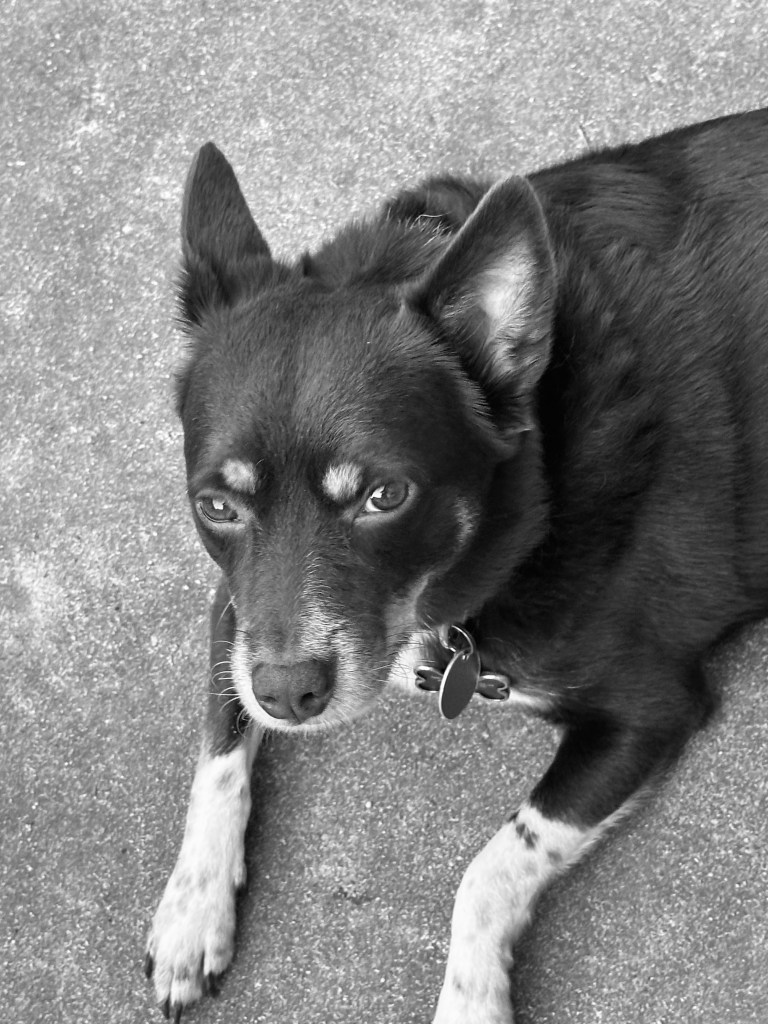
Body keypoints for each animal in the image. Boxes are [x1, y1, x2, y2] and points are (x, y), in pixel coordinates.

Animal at [145, 108, 768, 1022]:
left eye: (385, 495)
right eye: (216, 505)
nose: (290, 696)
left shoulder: (647, 707)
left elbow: (492, 865)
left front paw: (471, 1000)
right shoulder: (240, 611)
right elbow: (219, 746)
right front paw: (193, 911)